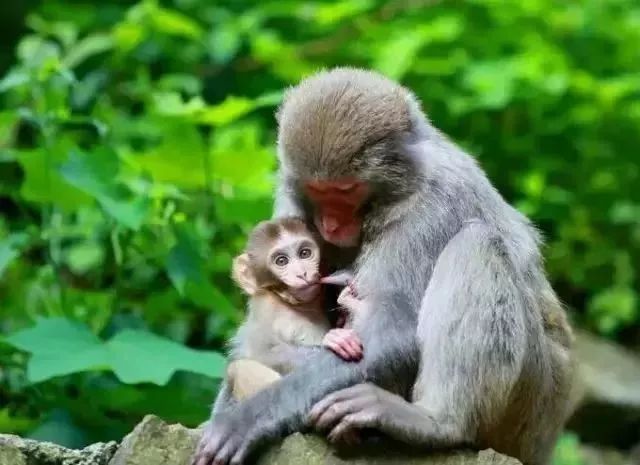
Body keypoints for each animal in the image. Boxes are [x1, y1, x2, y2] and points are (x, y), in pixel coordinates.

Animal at [224, 216, 364, 400]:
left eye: (304, 253)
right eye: (281, 261)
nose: (302, 273)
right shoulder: (268, 309)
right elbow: (262, 352)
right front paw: (334, 340)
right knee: (240, 368)